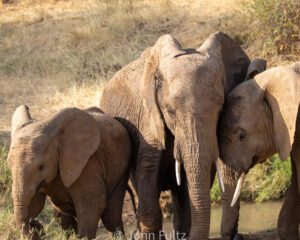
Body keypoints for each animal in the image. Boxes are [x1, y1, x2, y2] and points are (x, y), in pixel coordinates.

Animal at [7, 106, 131, 239]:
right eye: (10, 165)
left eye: (41, 167)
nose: (34, 224)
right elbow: (36, 203)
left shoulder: (88, 163)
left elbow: (92, 205)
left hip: (120, 168)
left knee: (110, 216)